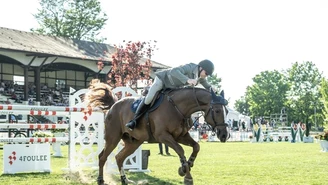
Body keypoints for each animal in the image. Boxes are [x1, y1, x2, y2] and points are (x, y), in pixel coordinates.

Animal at [84, 80, 229, 185]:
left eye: (226, 111)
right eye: (217, 111)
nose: (224, 135)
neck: (178, 107)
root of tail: (113, 106)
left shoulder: (181, 136)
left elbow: (196, 146)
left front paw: (187, 165)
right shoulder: (163, 136)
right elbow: (180, 150)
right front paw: (186, 174)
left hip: (134, 142)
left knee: (119, 157)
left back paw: (125, 180)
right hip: (113, 138)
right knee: (102, 157)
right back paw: (100, 180)